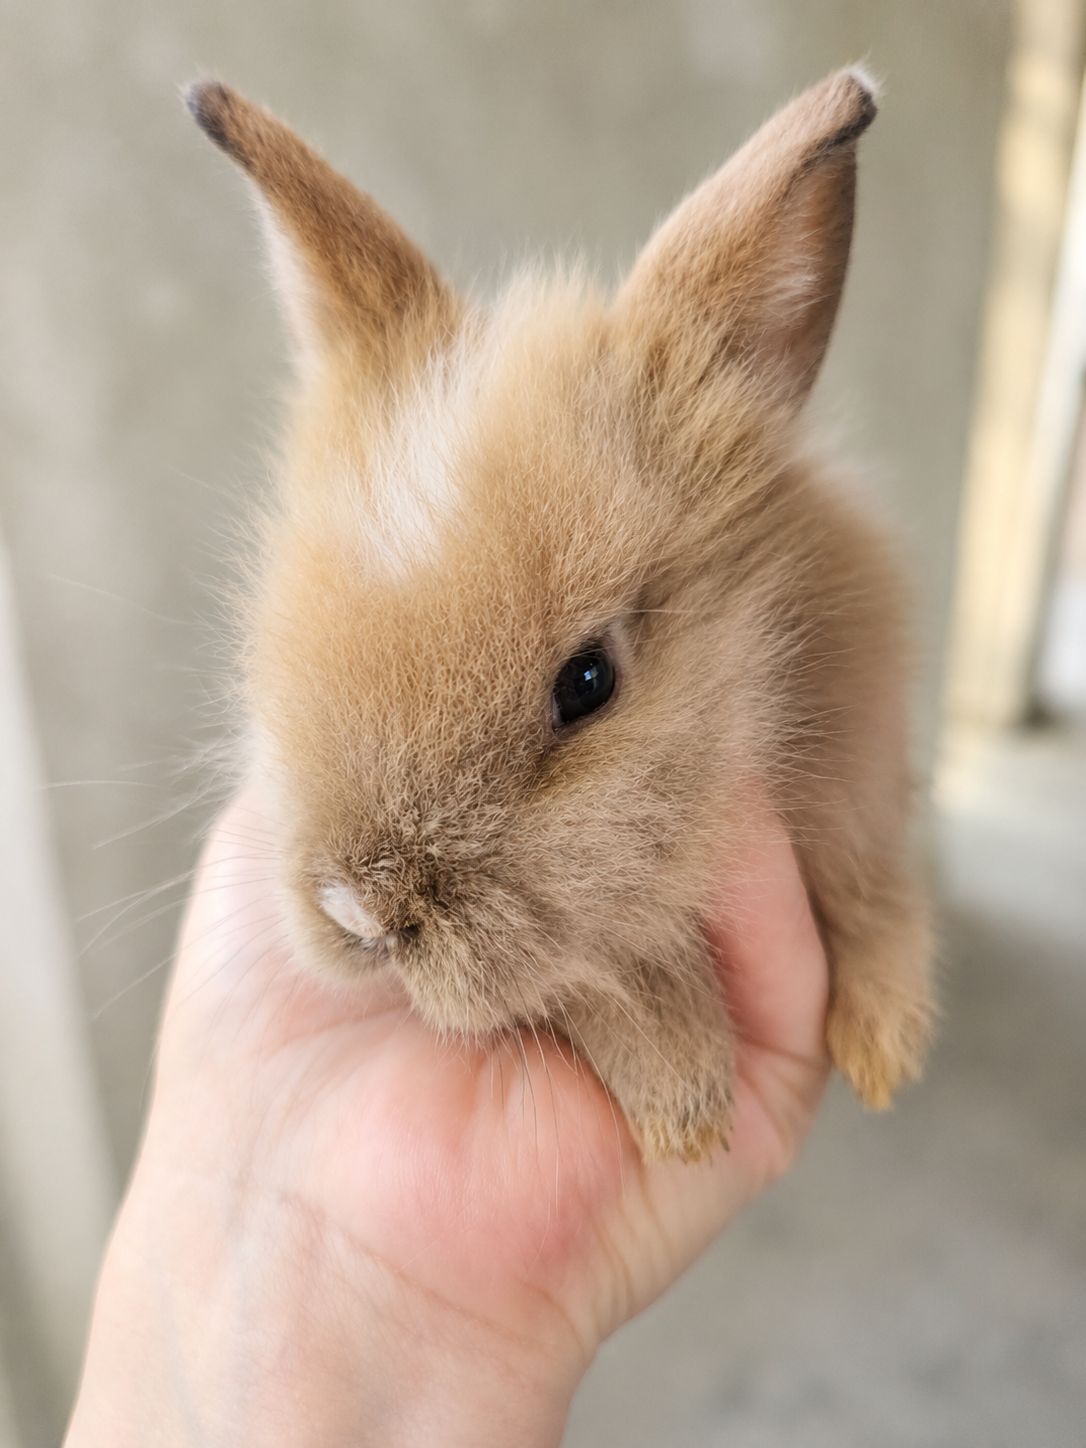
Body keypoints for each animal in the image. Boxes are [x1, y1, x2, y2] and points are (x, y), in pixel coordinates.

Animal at [185, 66, 934, 1163]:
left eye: (589, 681)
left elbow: (880, 898)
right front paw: (684, 1105)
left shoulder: (868, 791)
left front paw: (884, 1049)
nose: (364, 911)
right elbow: (586, 985)